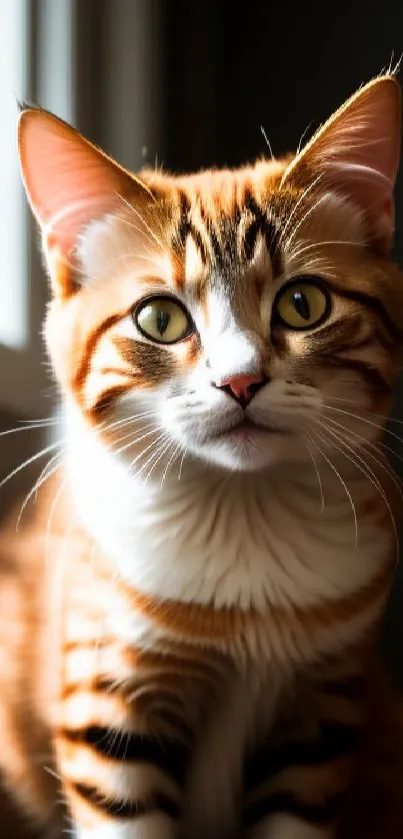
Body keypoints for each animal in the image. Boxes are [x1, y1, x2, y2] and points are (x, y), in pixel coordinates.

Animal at [0, 72, 403, 839]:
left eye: (303, 304)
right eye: (159, 318)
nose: (240, 380)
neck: (242, 517)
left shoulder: (320, 716)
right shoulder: (107, 704)